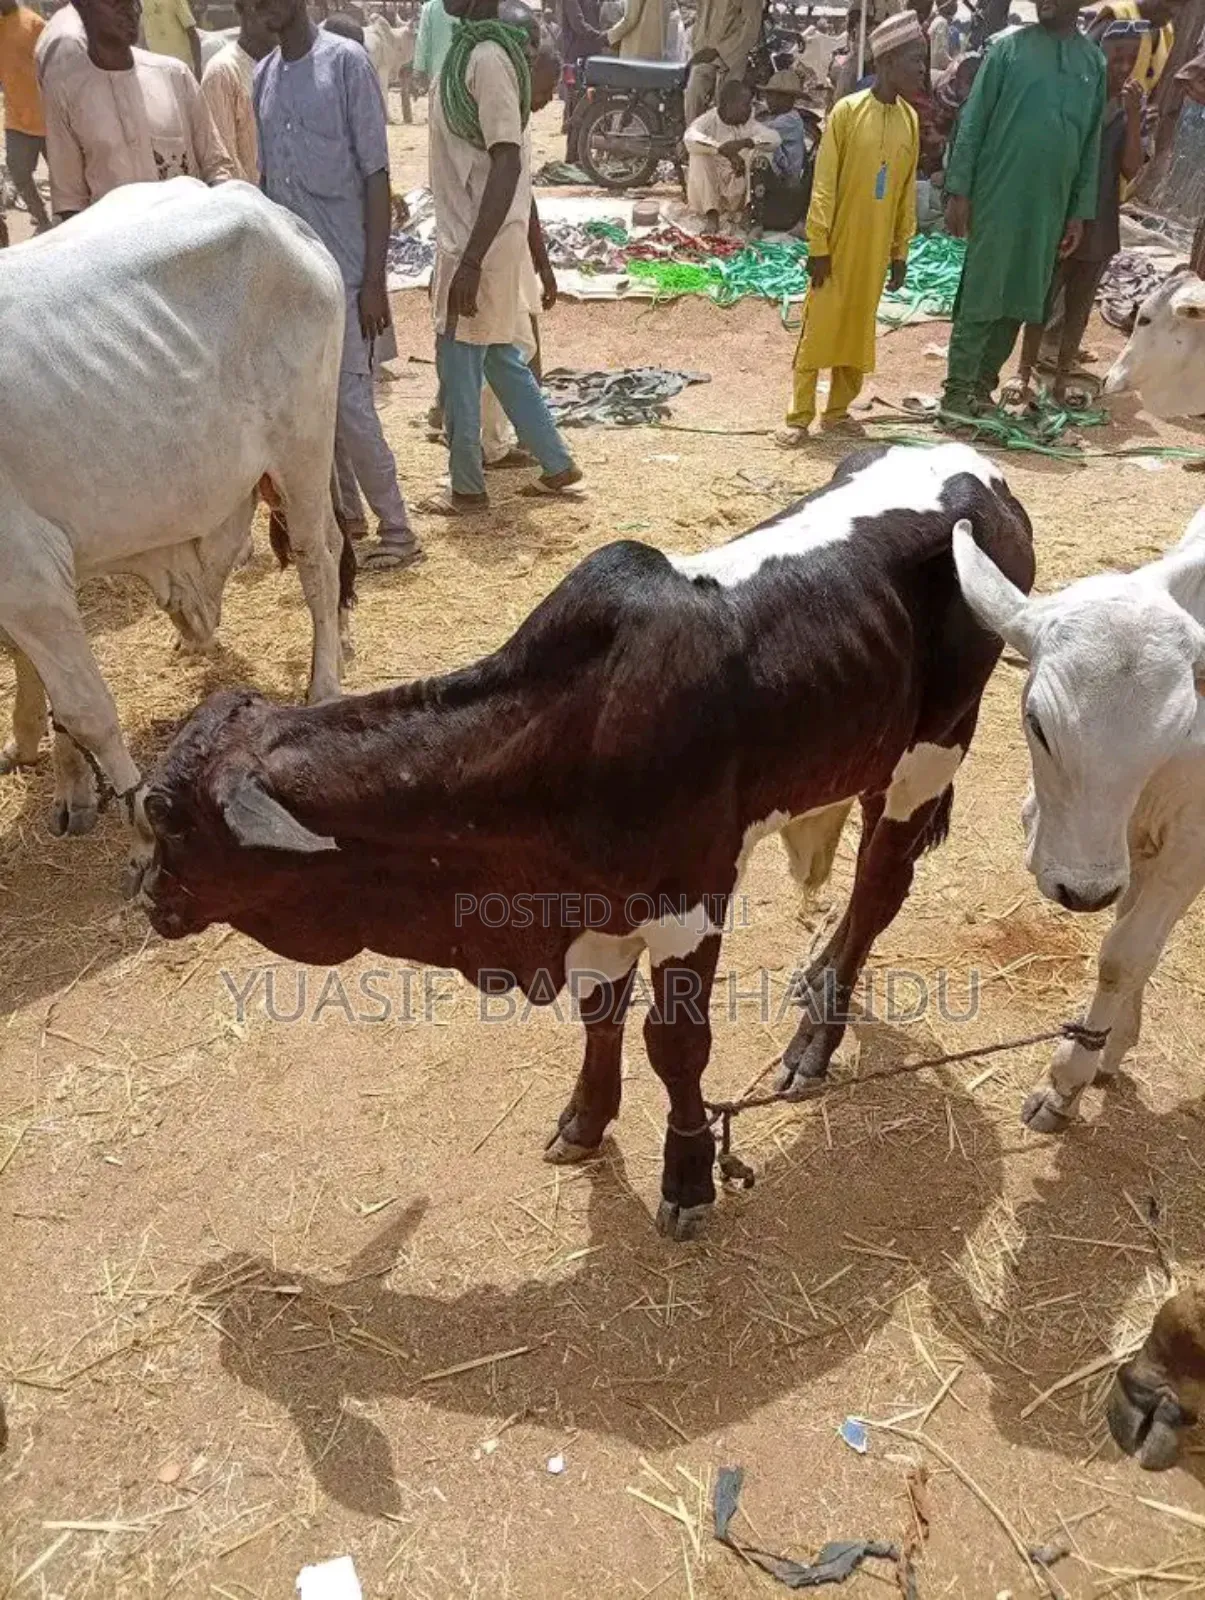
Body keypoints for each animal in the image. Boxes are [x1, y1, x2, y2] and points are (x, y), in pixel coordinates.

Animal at [0, 177, 348, 841]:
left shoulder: (27, 573)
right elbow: (39, 679)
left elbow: (87, 708)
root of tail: (270, 210)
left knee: (319, 560)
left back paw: (324, 686)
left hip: (304, 448)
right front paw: (60, 778)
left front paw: (141, 823)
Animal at [132, 443, 1034, 1239]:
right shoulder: (590, 906)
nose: (144, 896)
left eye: (167, 816)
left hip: (931, 751)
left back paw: (815, 1040)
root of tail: (983, 475)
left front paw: (688, 1178)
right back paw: (814, 984)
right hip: (867, 753)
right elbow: (600, 1015)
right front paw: (585, 1121)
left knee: (880, 886)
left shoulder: (687, 904)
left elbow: (675, 1045)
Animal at [953, 506, 1205, 1132]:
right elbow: (1128, 927)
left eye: (1173, 733)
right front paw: (1112, 1043)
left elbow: (1124, 954)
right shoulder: (1127, 845)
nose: (1081, 890)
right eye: (1036, 724)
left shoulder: (1192, 843)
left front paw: (1067, 1080)